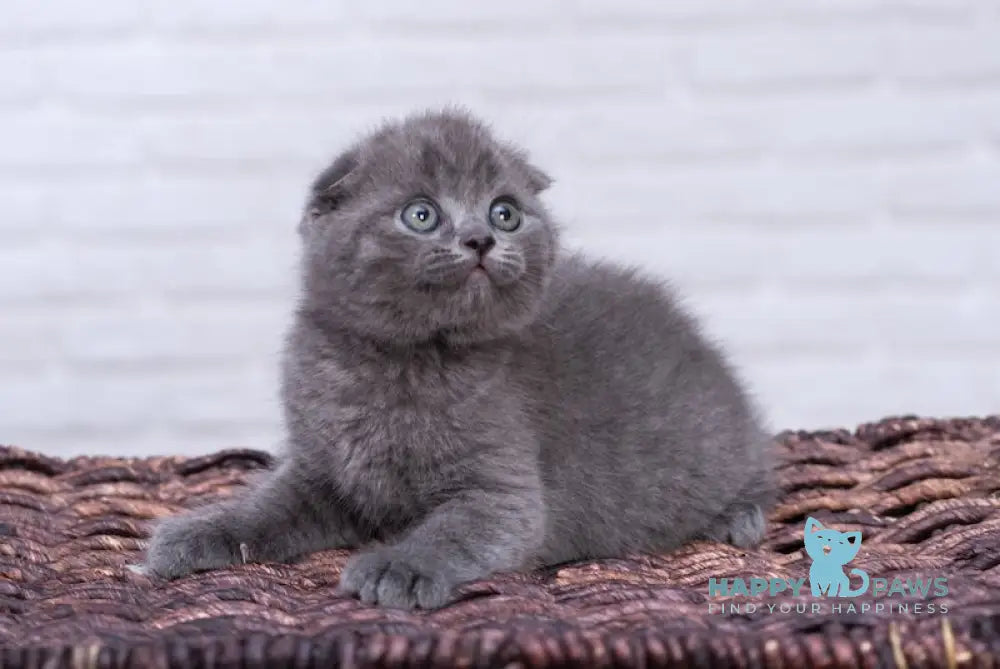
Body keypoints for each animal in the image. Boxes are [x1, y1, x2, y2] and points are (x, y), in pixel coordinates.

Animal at [143, 109, 772, 612]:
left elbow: (453, 530)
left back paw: (738, 516)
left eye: (504, 213)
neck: (400, 364)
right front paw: (196, 534)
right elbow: (265, 508)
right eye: (420, 214)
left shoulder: (501, 490)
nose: (480, 239)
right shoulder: (322, 468)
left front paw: (396, 567)